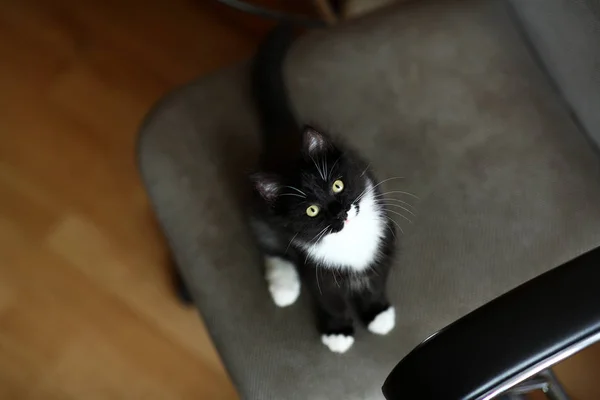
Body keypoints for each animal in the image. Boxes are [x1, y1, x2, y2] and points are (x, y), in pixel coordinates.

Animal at [250, 26, 398, 354]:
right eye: (312, 210)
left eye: (337, 184)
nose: (341, 212)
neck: (350, 240)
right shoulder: (316, 266)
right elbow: (330, 300)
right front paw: (338, 331)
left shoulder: (385, 238)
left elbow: (376, 281)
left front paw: (377, 313)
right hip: (262, 213)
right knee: (270, 244)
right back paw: (284, 288)